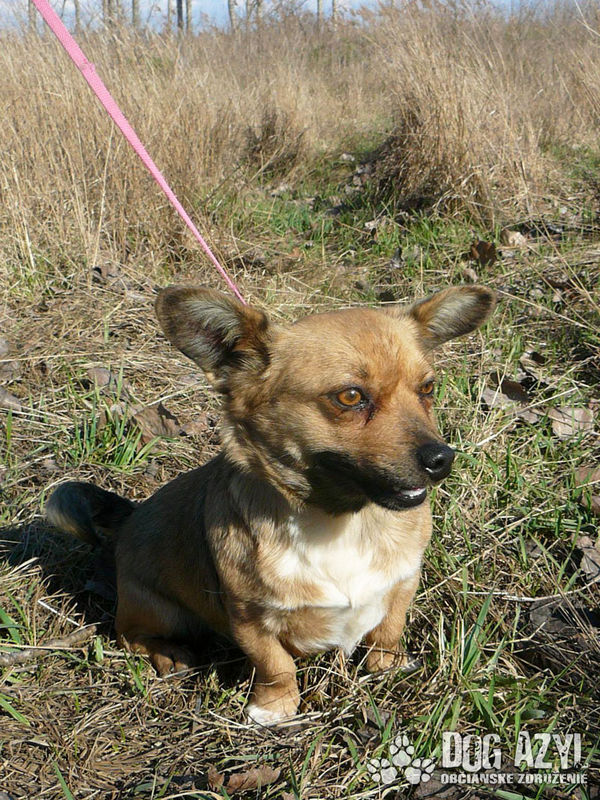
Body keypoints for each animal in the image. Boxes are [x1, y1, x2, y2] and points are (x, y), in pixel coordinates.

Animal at [46, 284, 494, 725]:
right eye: (350, 397)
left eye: (428, 388)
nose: (442, 459)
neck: (343, 522)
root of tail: (129, 520)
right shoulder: (248, 619)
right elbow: (275, 665)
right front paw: (275, 707)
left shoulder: (402, 583)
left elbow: (388, 630)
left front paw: (388, 667)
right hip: (158, 610)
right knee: (131, 636)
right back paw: (171, 655)